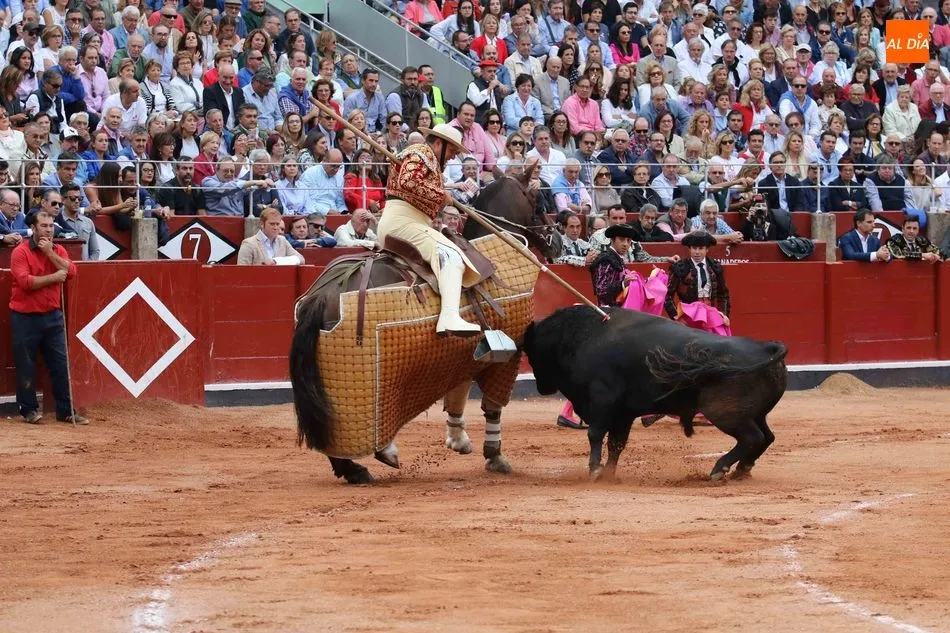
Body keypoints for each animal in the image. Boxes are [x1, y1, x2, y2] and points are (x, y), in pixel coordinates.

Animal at [290, 175, 562, 484]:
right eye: (539, 201)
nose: (558, 241)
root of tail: (320, 295)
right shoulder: (507, 353)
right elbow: (492, 405)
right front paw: (495, 455)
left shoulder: (465, 352)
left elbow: (458, 392)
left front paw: (458, 439)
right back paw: (366, 463)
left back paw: (358, 467)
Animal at [522, 306, 788, 481]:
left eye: (531, 352)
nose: (542, 387)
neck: (579, 338)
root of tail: (765, 347)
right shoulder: (623, 413)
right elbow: (616, 444)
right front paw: (608, 473)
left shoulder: (602, 401)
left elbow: (595, 434)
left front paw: (595, 471)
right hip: (755, 413)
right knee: (767, 437)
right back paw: (742, 469)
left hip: (725, 412)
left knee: (752, 438)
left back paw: (719, 470)